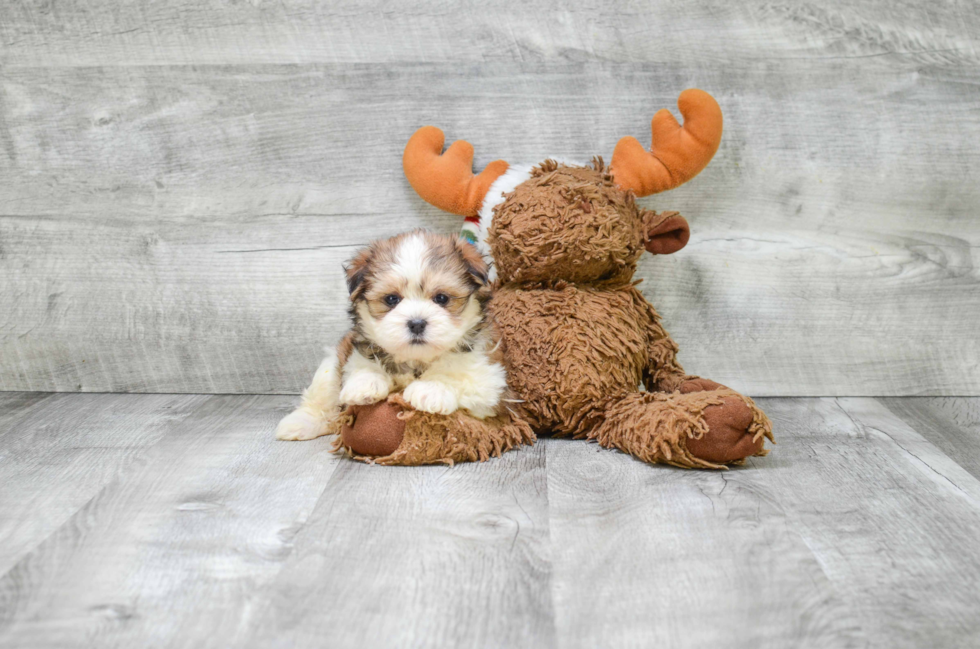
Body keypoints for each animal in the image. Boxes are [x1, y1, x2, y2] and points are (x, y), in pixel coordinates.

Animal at [274, 229, 506, 440]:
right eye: (391, 299)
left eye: (441, 298)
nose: (416, 323)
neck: (415, 360)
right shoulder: (354, 352)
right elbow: (363, 365)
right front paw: (366, 383)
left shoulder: (490, 385)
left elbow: (455, 371)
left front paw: (431, 389)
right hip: (330, 365)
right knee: (323, 397)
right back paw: (299, 423)